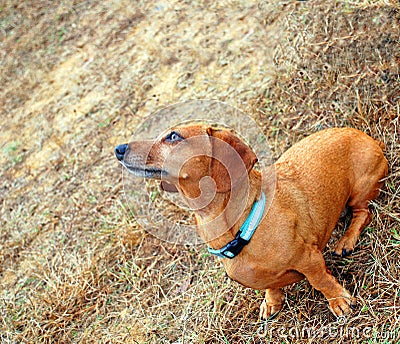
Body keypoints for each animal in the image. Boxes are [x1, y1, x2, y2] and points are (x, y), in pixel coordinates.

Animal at [115, 125, 388, 318]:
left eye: (173, 136)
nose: (119, 149)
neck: (244, 225)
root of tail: (371, 140)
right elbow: (271, 287)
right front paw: (272, 302)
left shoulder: (308, 259)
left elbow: (320, 280)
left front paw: (338, 300)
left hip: (361, 189)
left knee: (363, 213)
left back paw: (346, 240)